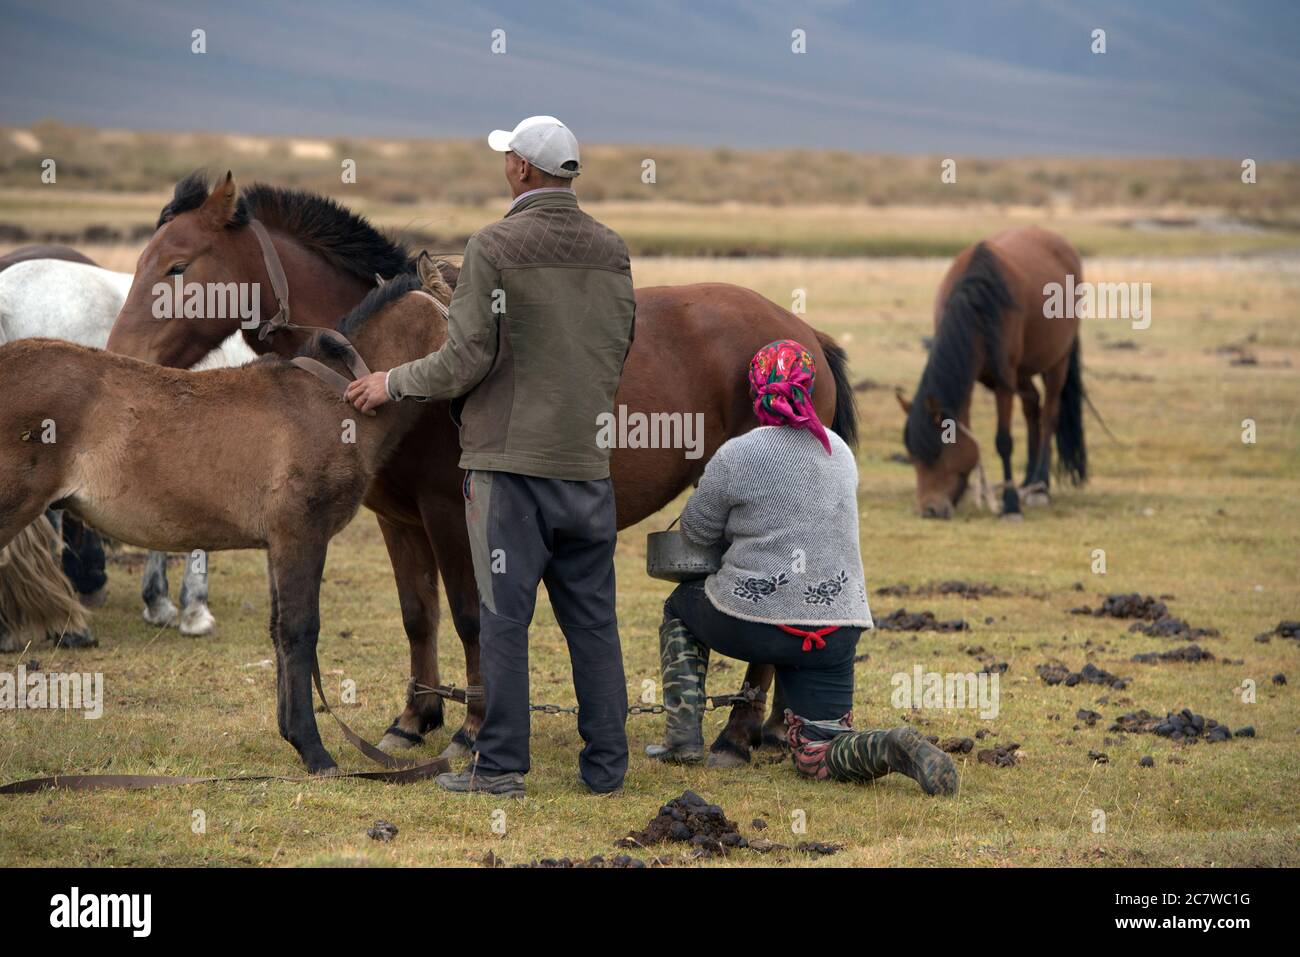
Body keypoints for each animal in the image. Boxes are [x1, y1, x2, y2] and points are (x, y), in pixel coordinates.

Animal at [106, 171, 857, 769]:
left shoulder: (451, 514)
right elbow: (419, 616)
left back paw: (735, 735)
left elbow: (471, 615)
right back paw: (763, 729)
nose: (118, 357)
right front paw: (414, 719)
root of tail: (802, 333)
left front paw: (470, 726)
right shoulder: (398, 522)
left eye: (177, 267)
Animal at [894, 227, 1086, 520]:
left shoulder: (1002, 383)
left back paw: (1040, 486)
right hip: (1022, 372)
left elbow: (1003, 441)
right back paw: (1028, 481)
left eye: (938, 453)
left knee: (1049, 414)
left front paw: (1010, 504)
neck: (977, 304)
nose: (930, 510)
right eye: (912, 457)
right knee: (1032, 406)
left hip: (1057, 362)